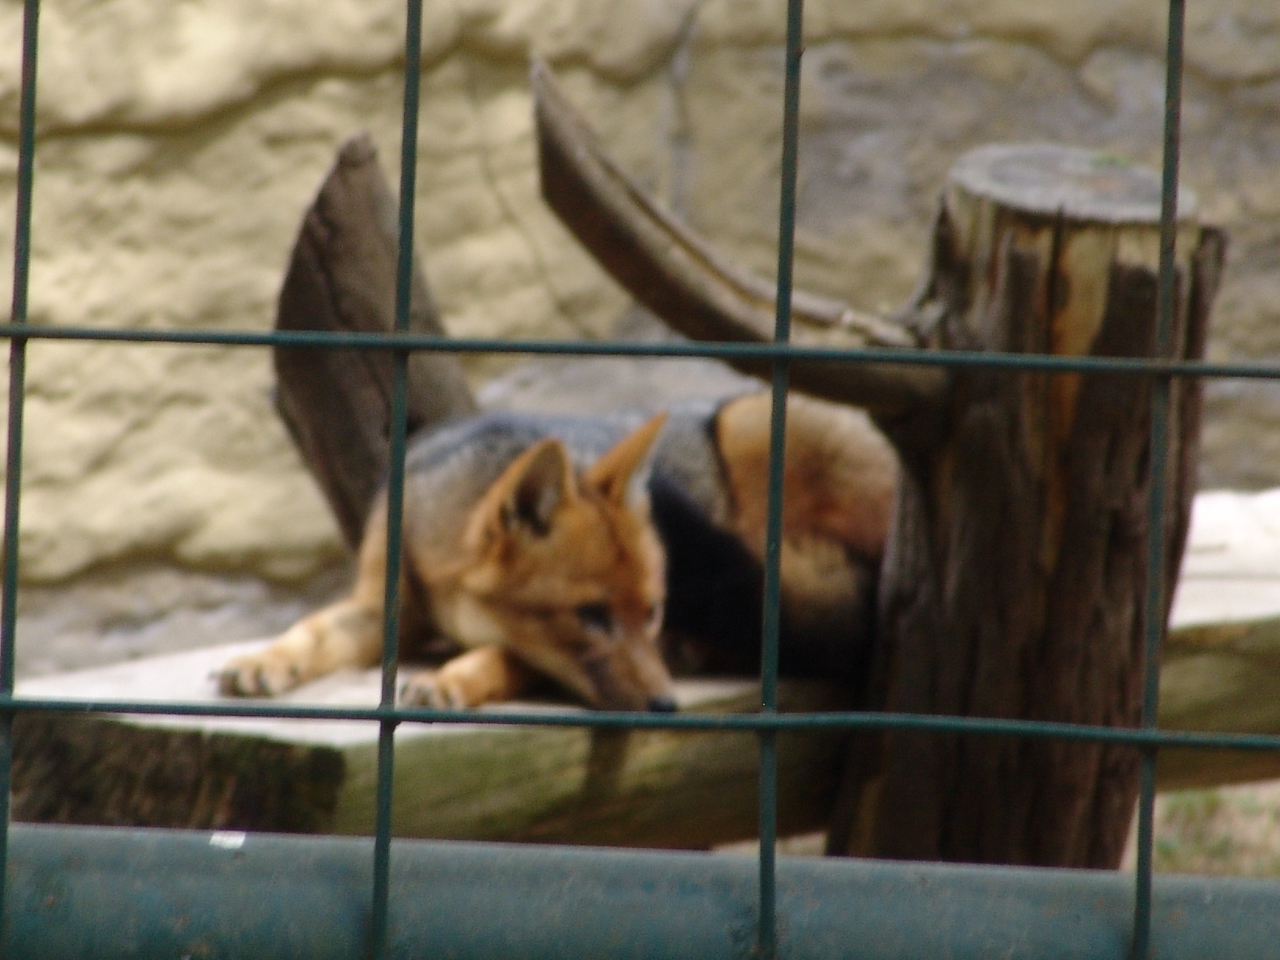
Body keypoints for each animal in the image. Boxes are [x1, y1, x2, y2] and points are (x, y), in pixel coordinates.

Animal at [218, 390, 898, 712]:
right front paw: (264, 660)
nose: (666, 706)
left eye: (652, 612)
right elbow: (311, 630)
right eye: (592, 616)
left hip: (754, 423)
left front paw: (450, 679)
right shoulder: (381, 604)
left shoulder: (530, 647)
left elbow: (500, 653)